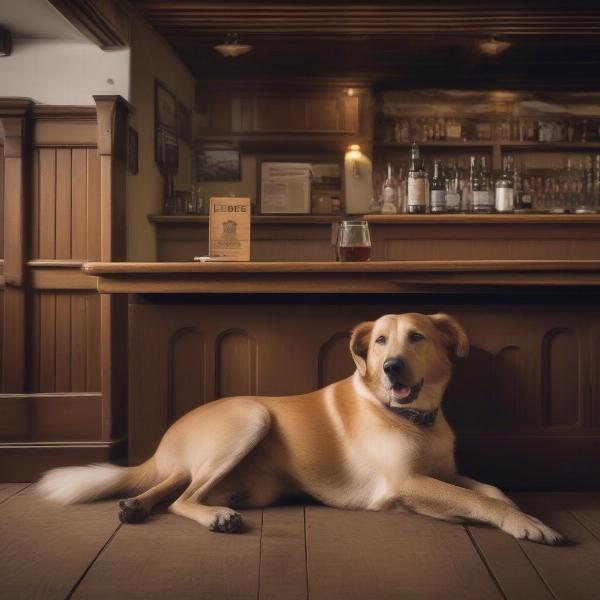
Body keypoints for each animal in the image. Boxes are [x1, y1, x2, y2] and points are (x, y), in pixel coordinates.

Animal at [39, 314, 564, 544]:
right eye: (379, 341)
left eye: (417, 337)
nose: (392, 367)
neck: (412, 418)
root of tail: (167, 439)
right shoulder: (405, 482)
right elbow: (477, 500)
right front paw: (525, 523)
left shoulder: (442, 474)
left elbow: (491, 488)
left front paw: (518, 509)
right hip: (251, 417)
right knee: (183, 498)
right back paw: (213, 516)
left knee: (173, 487)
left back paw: (136, 505)